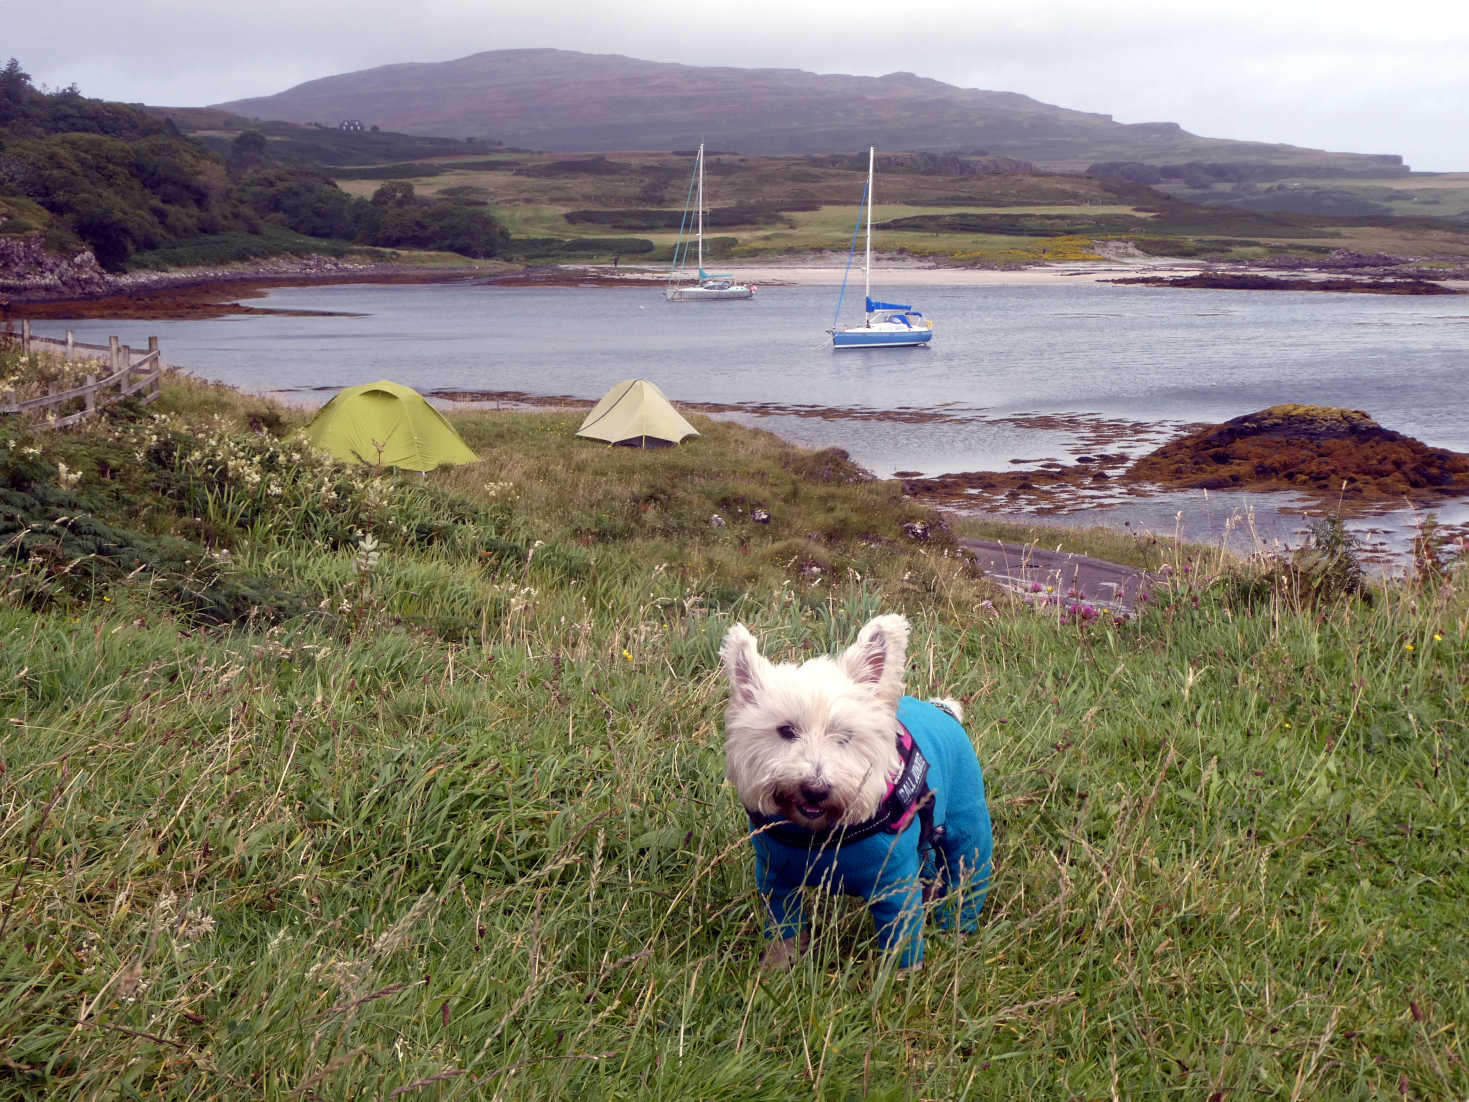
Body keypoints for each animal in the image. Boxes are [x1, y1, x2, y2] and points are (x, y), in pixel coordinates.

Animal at [719, 617, 993, 969]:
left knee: (968, 880)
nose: (815, 789)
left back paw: (956, 930)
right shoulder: (776, 880)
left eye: (845, 735)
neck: (820, 836)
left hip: (968, 828)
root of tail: (943, 709)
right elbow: (783, 933)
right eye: (786, 730)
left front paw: (901, 979)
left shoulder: (895, 886)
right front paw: (775, 972)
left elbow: (901, 943)